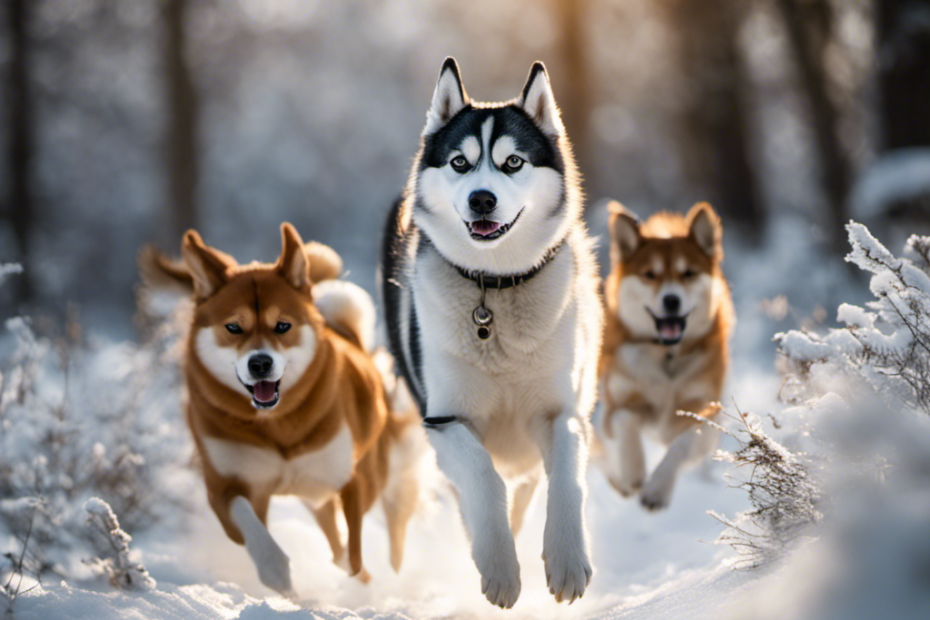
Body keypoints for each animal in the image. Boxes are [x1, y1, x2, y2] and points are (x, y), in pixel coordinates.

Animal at [140, 225, 416, 592]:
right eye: (233, 327)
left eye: (282, 326)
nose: (260, 363)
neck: (276, 423)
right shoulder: (224, 484)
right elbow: (248, 520)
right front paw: (277, 572)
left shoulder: (350, 478)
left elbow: (351, 551)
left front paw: (359, 575)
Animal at [596, 201, 732, 512]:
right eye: (650, 274)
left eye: (689, 273)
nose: (672, 300)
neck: (667, 354)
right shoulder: (619, 400)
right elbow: (623, 419)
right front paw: (633, 470)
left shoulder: (703, 408)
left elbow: (684, 441)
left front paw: (657, 488)